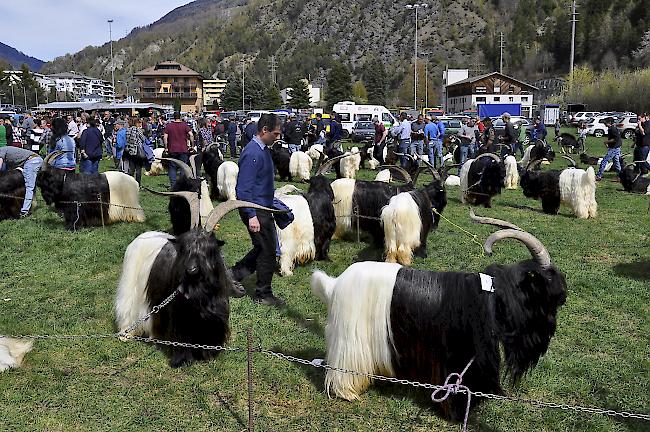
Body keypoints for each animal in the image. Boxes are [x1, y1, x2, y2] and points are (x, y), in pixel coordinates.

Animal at [312, 215, 564, 418]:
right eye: (547, 283)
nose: (563, 297)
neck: (491, 297)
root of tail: (335, 285)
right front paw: (458, 413)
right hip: (351, 338)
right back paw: (348, 393)